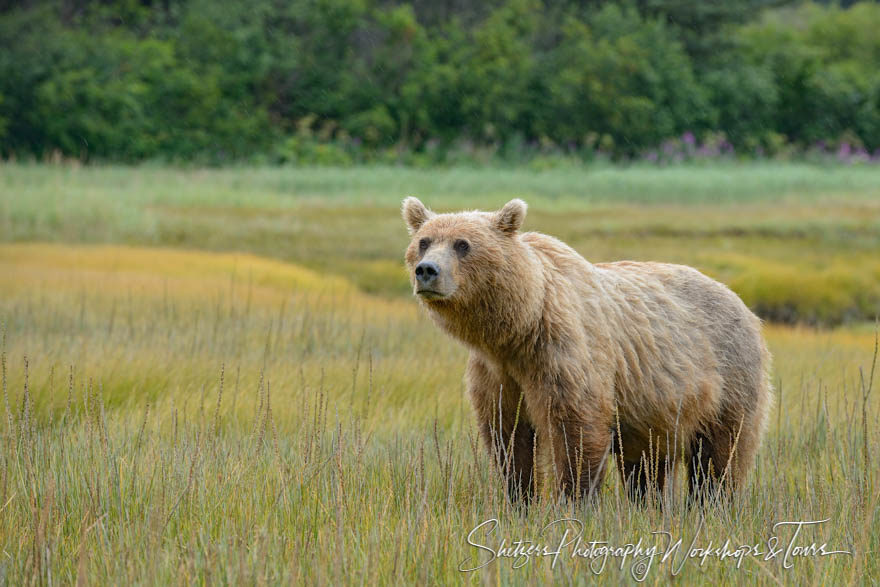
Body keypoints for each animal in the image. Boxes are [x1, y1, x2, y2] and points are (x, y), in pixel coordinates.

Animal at [402, 198, 772, 506]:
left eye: (463, 245)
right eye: (424, 242)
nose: (428, 270)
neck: (517, 329)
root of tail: (741, 302)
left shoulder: (561, 354)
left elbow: (576, 431)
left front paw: (574, 502)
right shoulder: (496, 374)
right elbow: (508, 439)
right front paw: (520, 501)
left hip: (728, 375)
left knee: (719, 455)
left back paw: (710, 504)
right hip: (655, 409)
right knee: (646, 465)